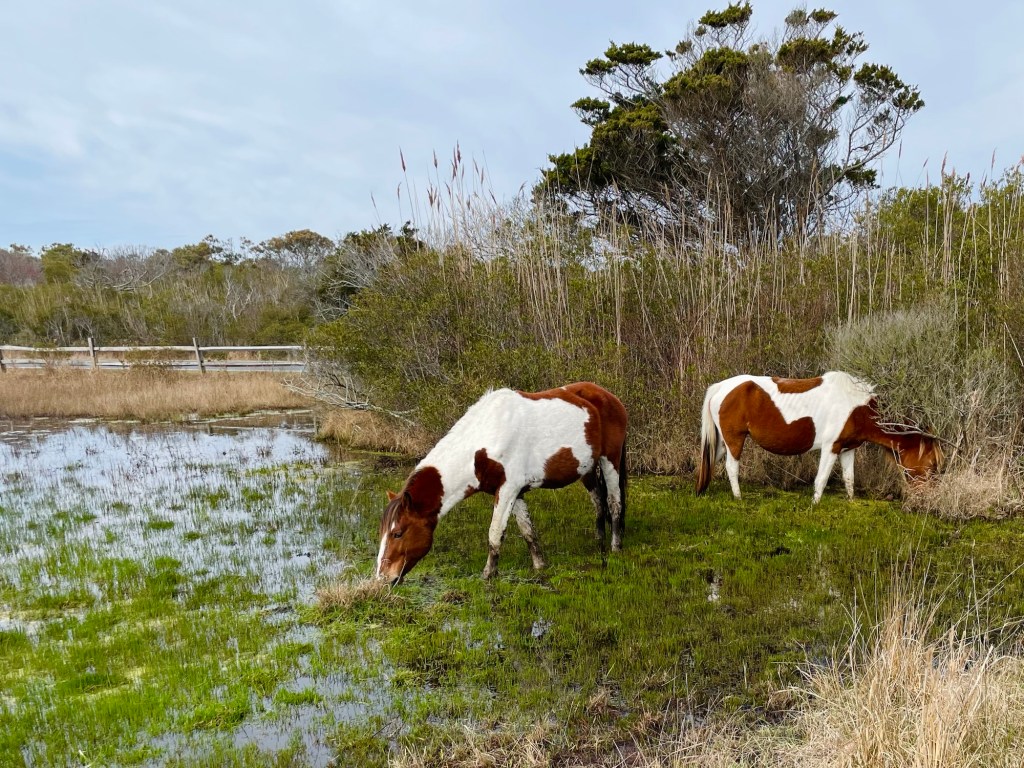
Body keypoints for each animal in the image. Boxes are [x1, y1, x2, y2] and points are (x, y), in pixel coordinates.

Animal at [374, 382, 628, 584]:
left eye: (397, 533)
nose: (382, 578)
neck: (484, 442)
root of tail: (608, 396)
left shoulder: (507, 490)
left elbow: (495, 532)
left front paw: (489, 574)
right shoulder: (516, 492)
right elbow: (528, 531)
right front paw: (540, 567)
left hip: (610, 461)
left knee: (614, 502)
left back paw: (615, 547)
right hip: (587, 468)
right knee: (599, 502)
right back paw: (599, 541)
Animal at [694, 371, 942, 503]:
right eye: (932, 464)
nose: (926, 499)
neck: (857, 408)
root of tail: (721, 387)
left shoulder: (847, 449)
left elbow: (849, 479)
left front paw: (851, 502)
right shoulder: (831, 447)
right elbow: (821, 479)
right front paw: (815, 504)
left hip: (722, 442)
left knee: (711, 461)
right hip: (735, 440)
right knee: (731, 467)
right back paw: (738, 497)